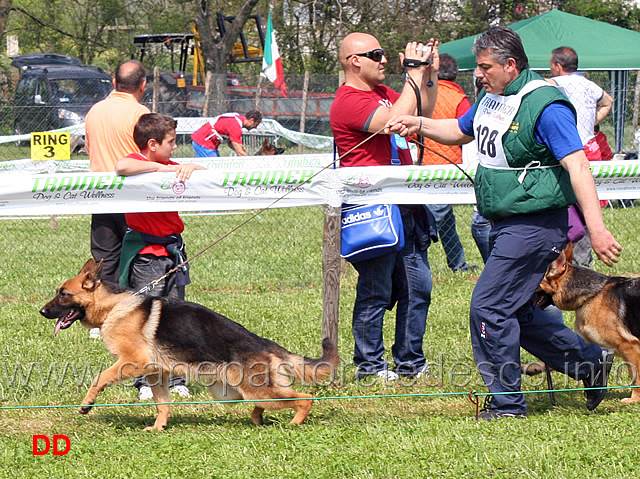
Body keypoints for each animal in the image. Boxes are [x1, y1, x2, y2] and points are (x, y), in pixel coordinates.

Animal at [40, 258, 340, 432]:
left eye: (63, 294)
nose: (41, 312)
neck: (113, 306)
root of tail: (264, 342)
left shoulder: (132, 361)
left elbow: (99, 377)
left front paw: (87, 404)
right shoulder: (156, 373)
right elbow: (162, 404)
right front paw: (159, 427)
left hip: (256, 390)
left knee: (304, 398)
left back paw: (295, 422)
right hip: (233, 393)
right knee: (264, 402)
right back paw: (258, 418)